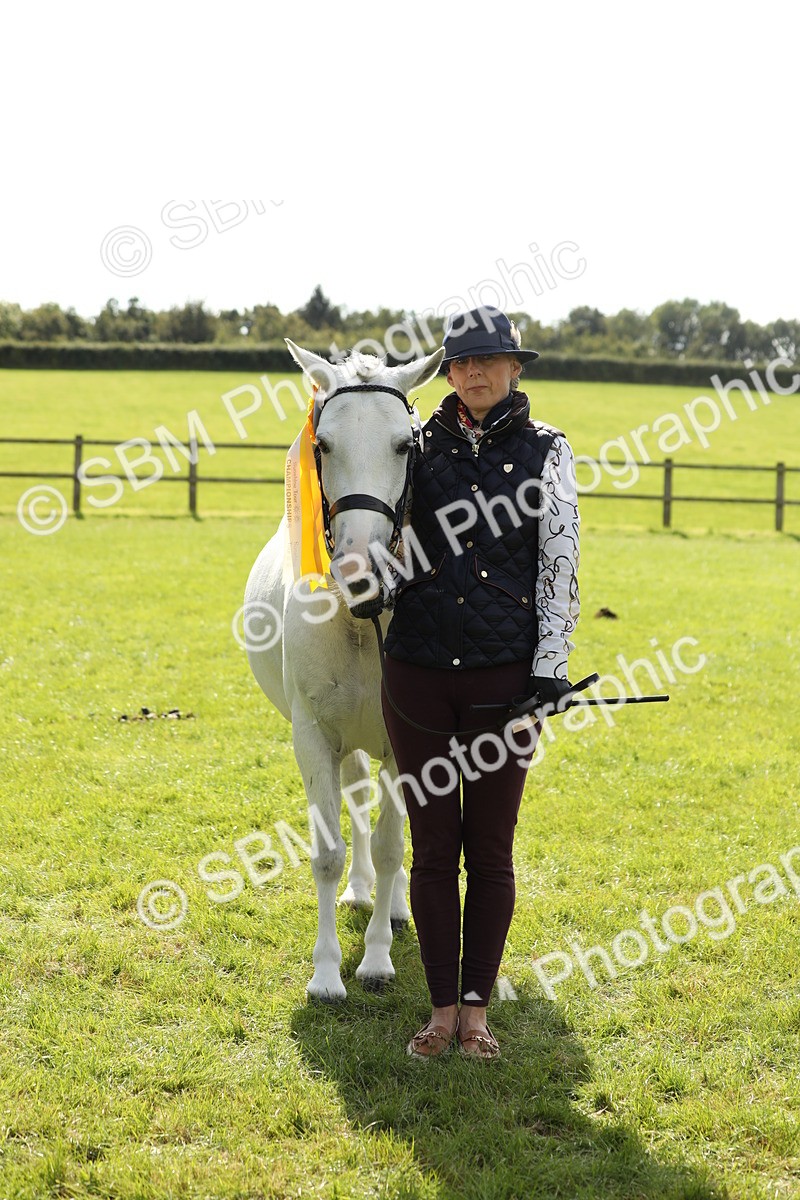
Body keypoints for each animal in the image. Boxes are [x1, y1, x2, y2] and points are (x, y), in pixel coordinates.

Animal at [244, 339, 445, 1001]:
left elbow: (390, 846)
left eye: (405, 445)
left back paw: (395, 906)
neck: (359, 619)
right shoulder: (313, 736)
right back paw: (360, 893)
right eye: (324, 444)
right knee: (356, 801)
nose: (361, 568)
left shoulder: (404, 742)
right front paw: (327, 973)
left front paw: (376, 959)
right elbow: (329, 851)